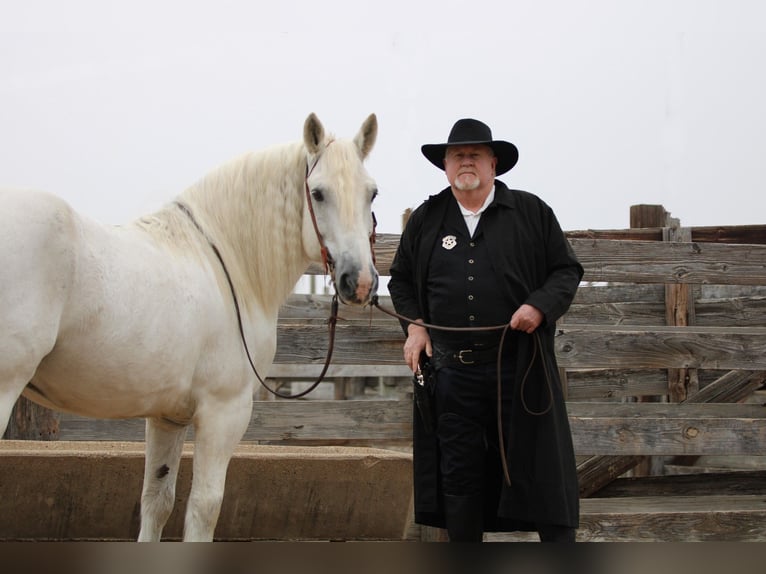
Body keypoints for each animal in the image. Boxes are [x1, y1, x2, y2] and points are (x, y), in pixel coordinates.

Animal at [0, 113, 380, 544]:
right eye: (317, 193)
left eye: (372, 194)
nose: (359, 282)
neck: (225, 263)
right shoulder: (224, 412)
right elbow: (204, 506)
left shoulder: (167, 418)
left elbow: (156, 502)